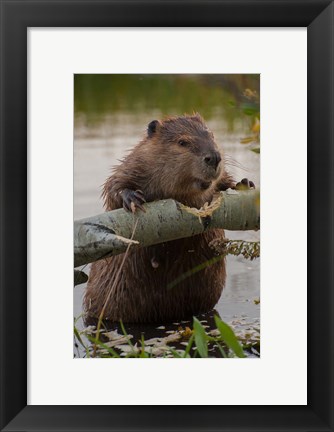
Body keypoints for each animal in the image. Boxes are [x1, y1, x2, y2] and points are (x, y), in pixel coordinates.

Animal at [83, 113, 253, 322]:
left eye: (212, 134)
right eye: (182, 142)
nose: (214, 157)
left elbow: (224, 181)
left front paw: (244, 183)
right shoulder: (135, 163)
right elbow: (114, 186)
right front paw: (132, 198)